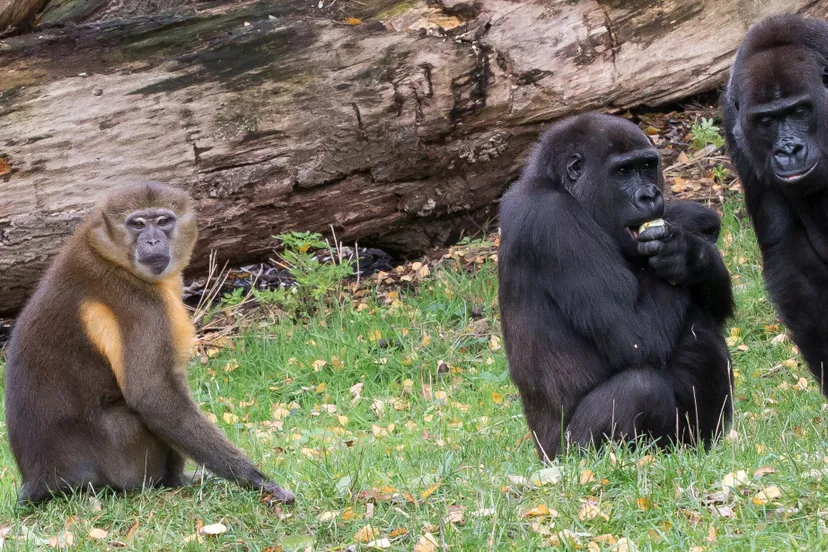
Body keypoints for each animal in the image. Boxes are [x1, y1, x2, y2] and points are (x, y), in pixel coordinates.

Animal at [4, 182, 295, 505]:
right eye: (138, 224)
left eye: (163, 221)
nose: (153, 240)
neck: (109, 253)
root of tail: (41, 481)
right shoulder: (144, 307)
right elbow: (152, 394)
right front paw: (255, 479)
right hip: (125, 463)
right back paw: (174, 480)